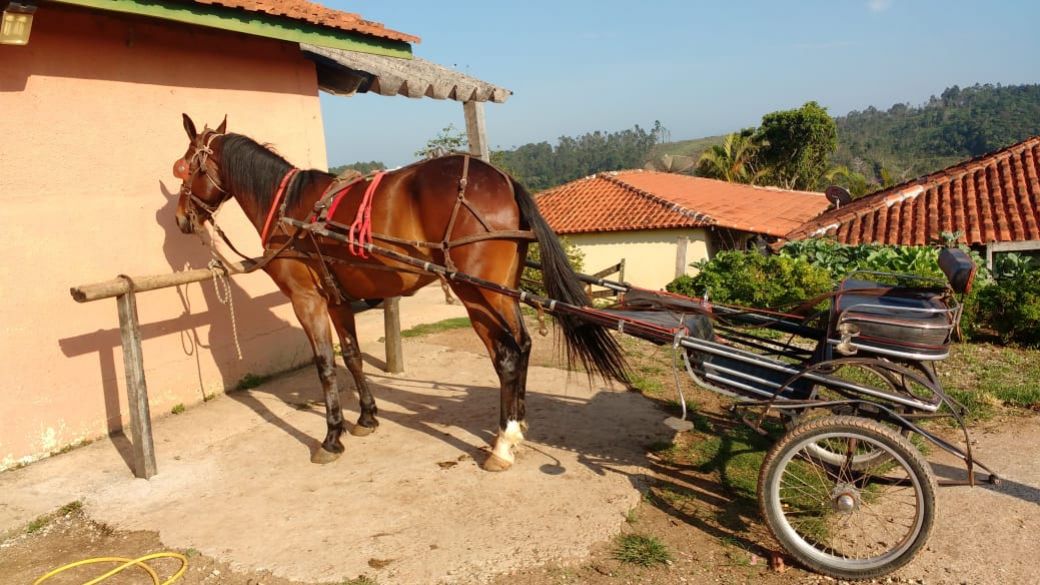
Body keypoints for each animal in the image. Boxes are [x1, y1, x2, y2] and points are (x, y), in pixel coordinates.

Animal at [172, 114, 628, 471]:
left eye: (185, 168)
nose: (181, 218)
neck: (291, 208)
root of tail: (502, 179)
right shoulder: (337, 300)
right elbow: (352, 357)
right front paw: (367, 418)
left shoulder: (307, 301)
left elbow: (325, 366)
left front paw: (332, 437)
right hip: (500, 292)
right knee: (522, 346)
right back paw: (514, 428)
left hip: (476, 292)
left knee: (510, 353)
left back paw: (503, 442)